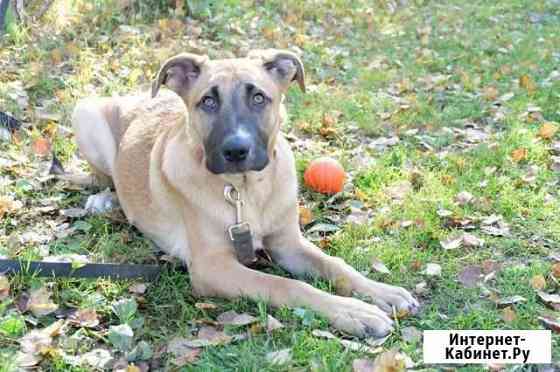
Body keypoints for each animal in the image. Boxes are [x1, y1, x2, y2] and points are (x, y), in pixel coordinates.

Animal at [70, 48, 418, 338]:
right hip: (85, 114)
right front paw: (354, 312)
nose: (236, 150)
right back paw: (104, 199)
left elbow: (335, 264)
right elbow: (287, 285)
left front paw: (381, 292)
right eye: (208, 101)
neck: (245, 191)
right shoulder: (211, 267)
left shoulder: (289, 243)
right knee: (103, 176)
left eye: (259, 98)